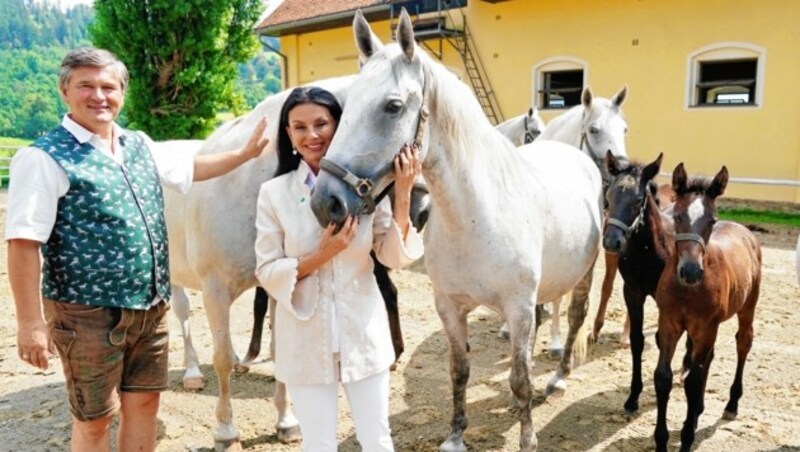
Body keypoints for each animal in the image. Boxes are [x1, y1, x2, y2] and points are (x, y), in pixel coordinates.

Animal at [310, 9, 604, 448]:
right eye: (344, 107)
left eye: (393, 106)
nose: (325, 202)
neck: (475, 218)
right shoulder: (449, 306)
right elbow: (459, 370)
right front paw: (455, 435)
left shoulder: (517, 309)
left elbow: (520, 379)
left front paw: (527, 439)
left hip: (584, 275)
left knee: (574, 319)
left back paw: (558, 378)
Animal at [600, 152, 676, 414]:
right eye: (608, 197)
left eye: (639, 199)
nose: (611, 241)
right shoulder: (632, 292)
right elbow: (637, 340)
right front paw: (633, 397)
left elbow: (662, 339)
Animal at [652, 163, 760, 452]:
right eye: (677, 216)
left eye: (711, 220)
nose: (690, 271)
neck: (687, 290)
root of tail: (744, 230)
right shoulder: (669, 323)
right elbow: (663, 377)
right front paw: (661, 440)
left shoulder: (705, 328)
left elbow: (693, 381)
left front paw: (687, 437)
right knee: (709, 358)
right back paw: (699, 409)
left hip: (746, 307)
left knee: (743, 342)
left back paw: (731, 404)